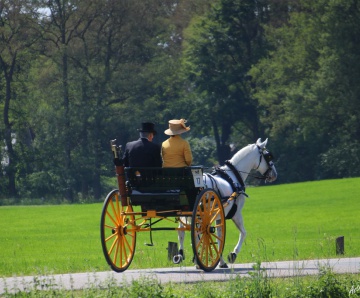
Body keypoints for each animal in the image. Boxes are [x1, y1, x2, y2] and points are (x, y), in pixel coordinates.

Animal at [174, 139, 278, 268]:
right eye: (268, 156)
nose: (274, 174)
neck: (233, 176)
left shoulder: (219, 216)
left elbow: (218, 237)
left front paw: (220, 260)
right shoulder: (236, 214)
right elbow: (243, 233)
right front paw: (232, 255)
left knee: (182, 231)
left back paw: (182, 256)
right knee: (194, 233)